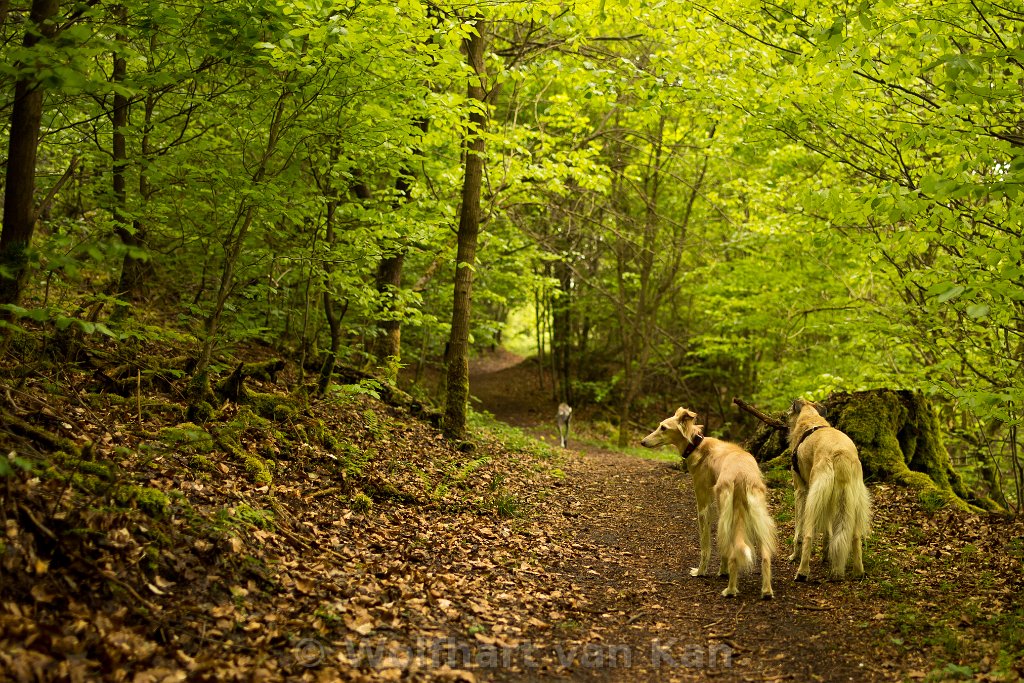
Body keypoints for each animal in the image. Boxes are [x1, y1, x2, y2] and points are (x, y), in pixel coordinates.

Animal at [638, 405, 774, 598]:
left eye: (663, 428)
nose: (643, 442)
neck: (697, 446)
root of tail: (742, 473)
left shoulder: (703, 505)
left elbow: (705, 545)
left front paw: (701, 572)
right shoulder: (719, 509)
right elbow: (722, 547)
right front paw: (722, 571)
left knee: (734, 554)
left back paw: (730, 590)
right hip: (755, 513)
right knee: (765, 554)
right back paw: (766, 591)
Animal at [786, 401, 868, 581]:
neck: (811, 419)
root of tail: (841, 453)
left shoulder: (800, 491)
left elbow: (799, 533)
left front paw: (794, 555)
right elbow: (829, 532)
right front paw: (826, 556)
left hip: (813, 500)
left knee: (808, 535)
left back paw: (802, 572)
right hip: (853, 500)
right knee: (855, 537)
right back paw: (858, 572)